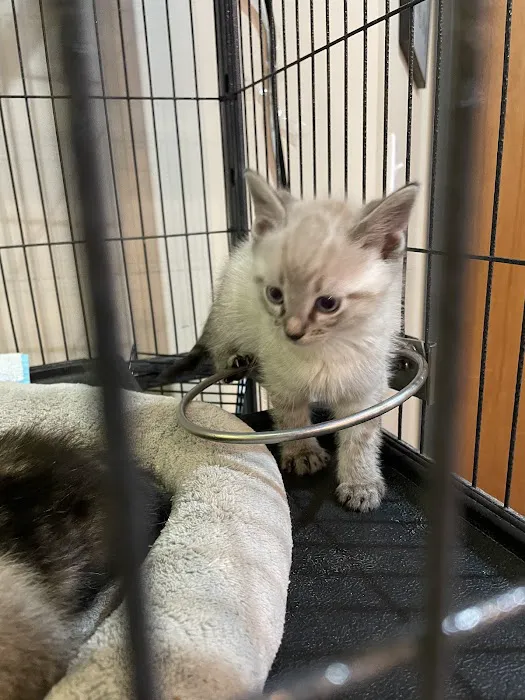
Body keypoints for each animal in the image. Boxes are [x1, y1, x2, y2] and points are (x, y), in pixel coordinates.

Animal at [160, 170, 418, 512]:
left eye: (328, 303)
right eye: (275, 295)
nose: (292, 332)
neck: (327, 350)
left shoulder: (366, 387)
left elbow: (360, 435)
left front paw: (361, 482)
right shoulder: (282, 379)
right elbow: (292, 417)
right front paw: (303, 453)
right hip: (229, 313)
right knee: (219, 344)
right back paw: (235, 358)